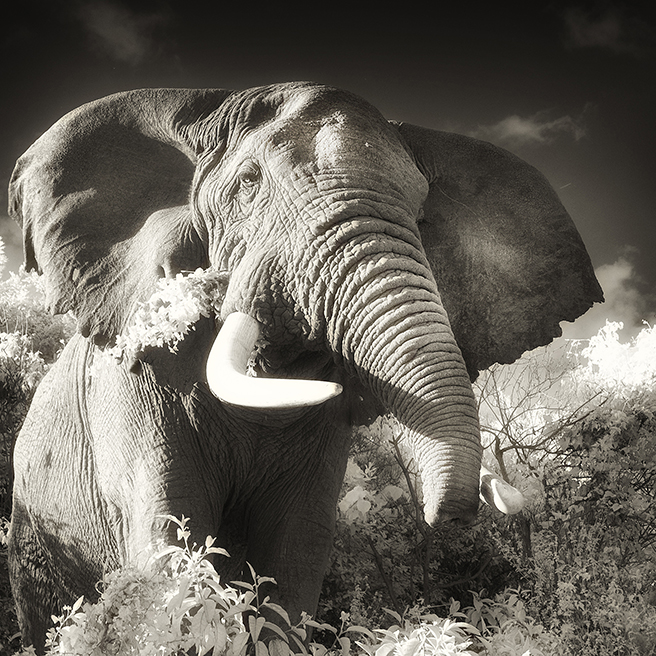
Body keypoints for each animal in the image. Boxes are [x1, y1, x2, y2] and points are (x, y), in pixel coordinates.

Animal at [7, 81, 603, 652]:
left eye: (423, 215)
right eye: (248, 184)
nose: (452, 518)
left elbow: (295, 551)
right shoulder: (134, 382)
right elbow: (171, 532)